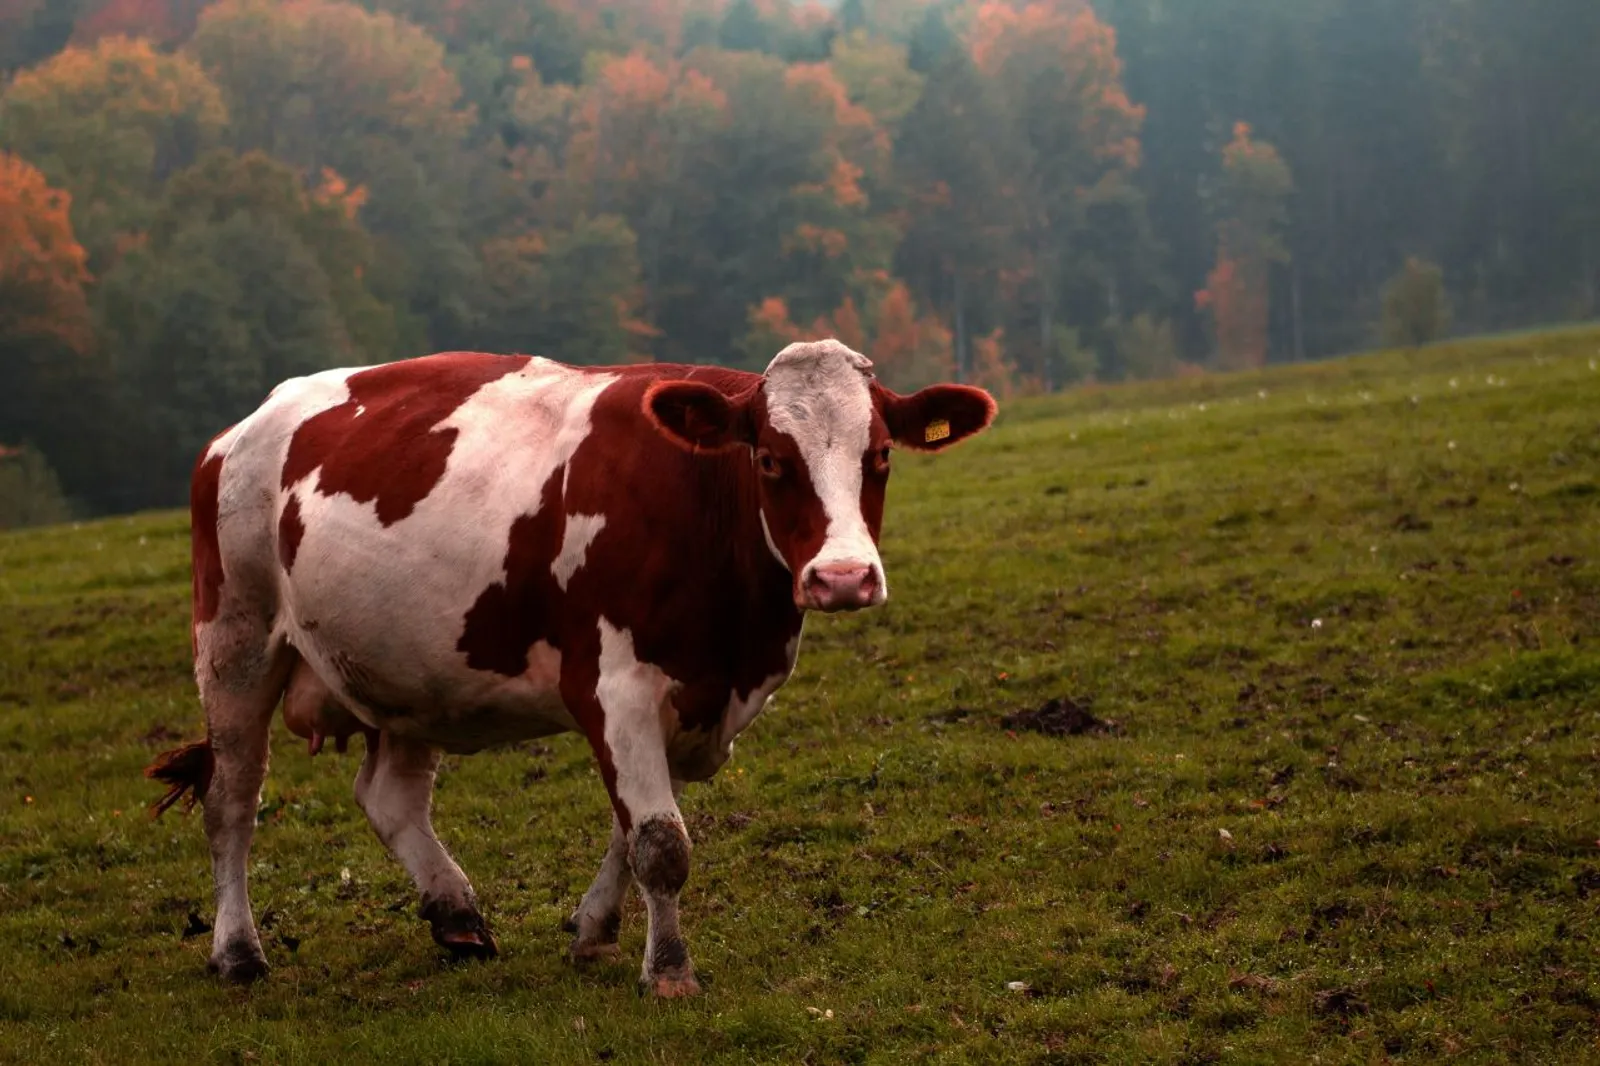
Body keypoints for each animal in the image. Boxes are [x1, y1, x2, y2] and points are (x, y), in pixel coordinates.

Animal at [152, 336, 998, 992]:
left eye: (879, 455)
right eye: (769, 457)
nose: (843, 578)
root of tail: (241, 429)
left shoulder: (697, 696)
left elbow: (632, 831)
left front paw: (593, 931)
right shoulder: (615, 685)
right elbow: (661, 842)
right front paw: (669, 971)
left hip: (410, 668)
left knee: (390, 797)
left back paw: (458, 916)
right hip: (235, 640)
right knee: (231, 799)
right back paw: (238, 952)